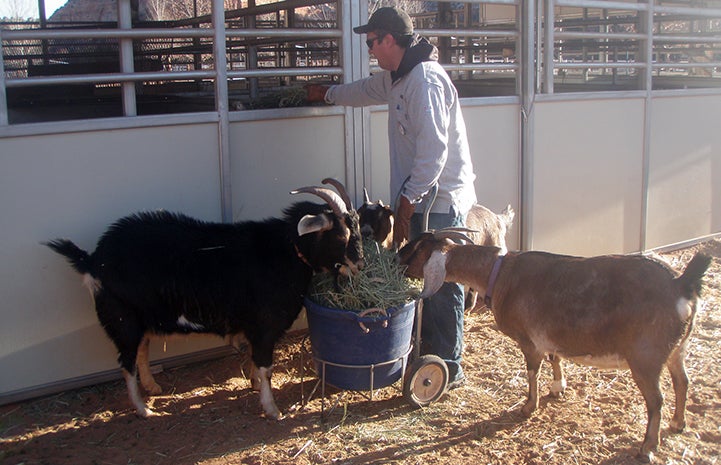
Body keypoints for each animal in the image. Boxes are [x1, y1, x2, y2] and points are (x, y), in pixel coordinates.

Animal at [45, 184, 362, 416]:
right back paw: (143, 410)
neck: (286, 249)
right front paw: (272, 409)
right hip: (123, 319)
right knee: (126, 361)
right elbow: (265, 367)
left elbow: (255, 364)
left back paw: (153, 388)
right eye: (341, 235)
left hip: (142, 317)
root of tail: (93, 259)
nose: (359, 265)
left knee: (141, 351)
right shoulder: (264, 327)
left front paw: (254, 386)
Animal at [396, 232, 712, 460]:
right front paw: (558, 388)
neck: (499, 273)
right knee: (683, 382)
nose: (394, 259)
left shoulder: (528, 339)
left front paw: (529, 406)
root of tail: (681, 284)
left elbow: (533, 370)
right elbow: (555, 358)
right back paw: (678, 423)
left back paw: (647, 446)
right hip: (678, 349)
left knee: (657, 399)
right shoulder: (548, 333)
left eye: (414, 249)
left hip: (646, 356)